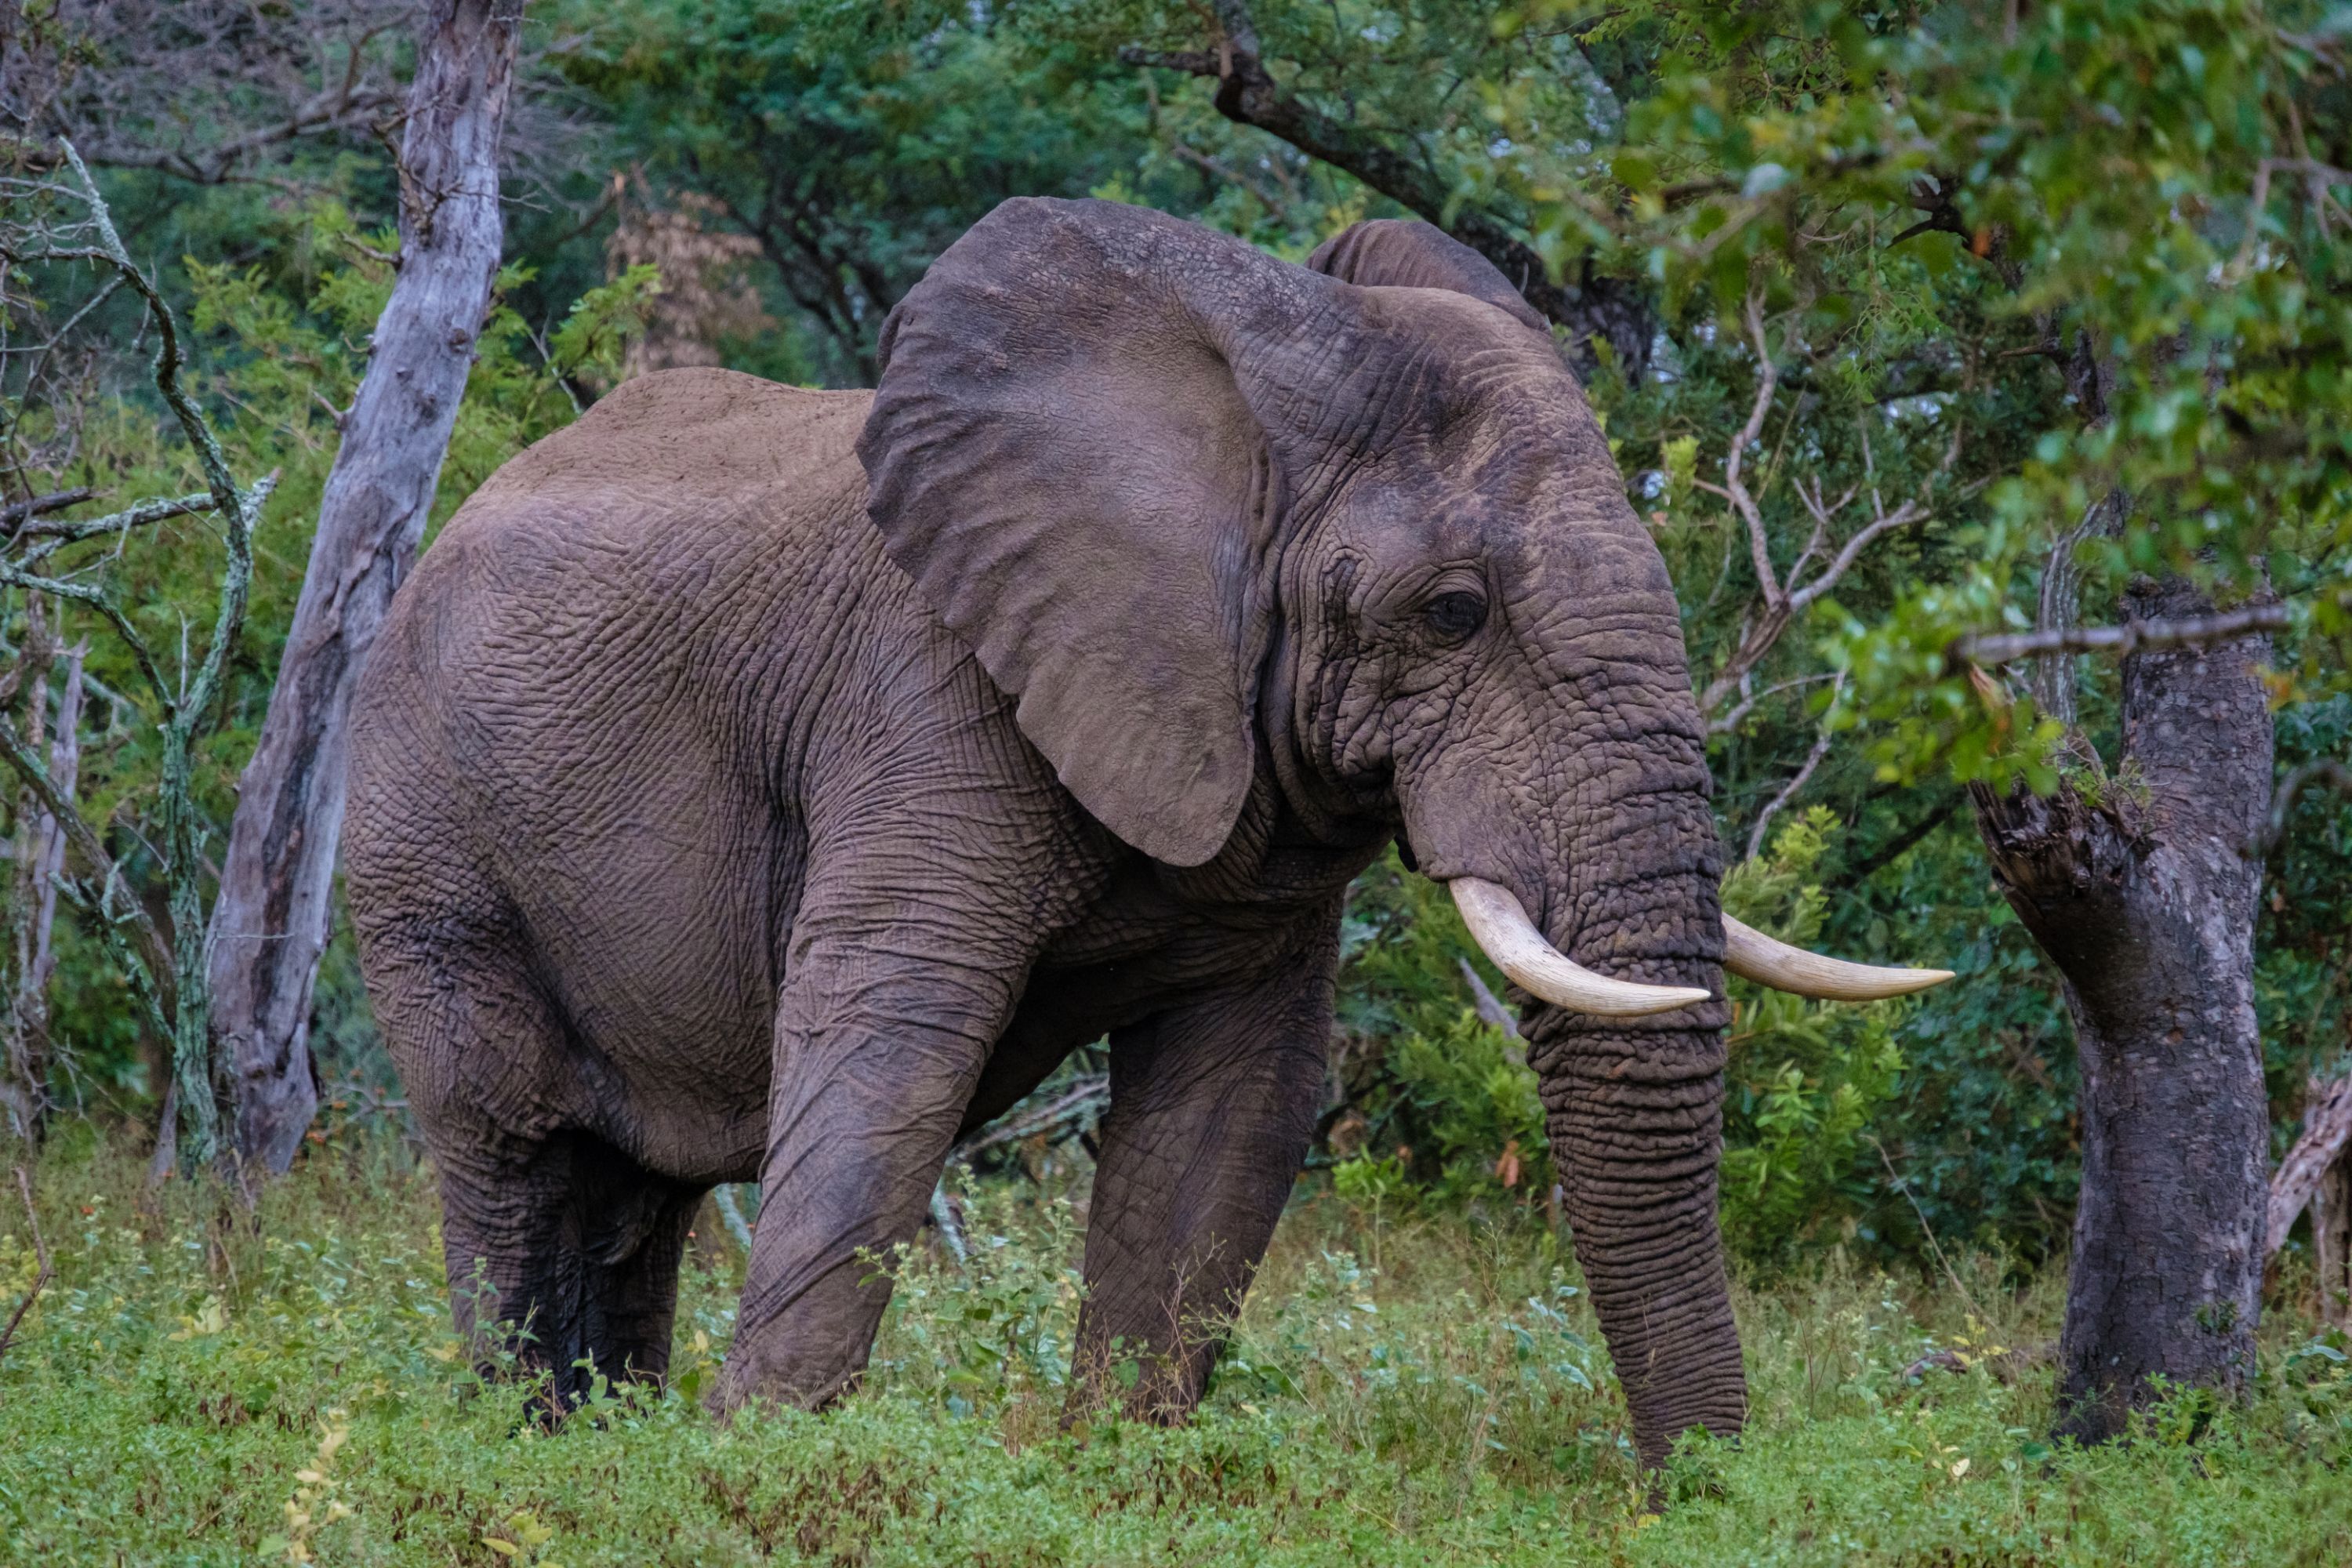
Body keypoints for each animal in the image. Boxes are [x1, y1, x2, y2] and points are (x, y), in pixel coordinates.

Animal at [344, 197, 1947, 1469]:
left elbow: (1233, 1107)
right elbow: (892, 1052)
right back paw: (519, 1449)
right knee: (513, 1149)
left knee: (639, 1197)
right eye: (1453, 612)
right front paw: (752, 1475)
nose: (1693, 1493)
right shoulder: (925, 692)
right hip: (426, 851)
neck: (1246, 403)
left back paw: (594, 1445)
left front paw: (1119, 1474)